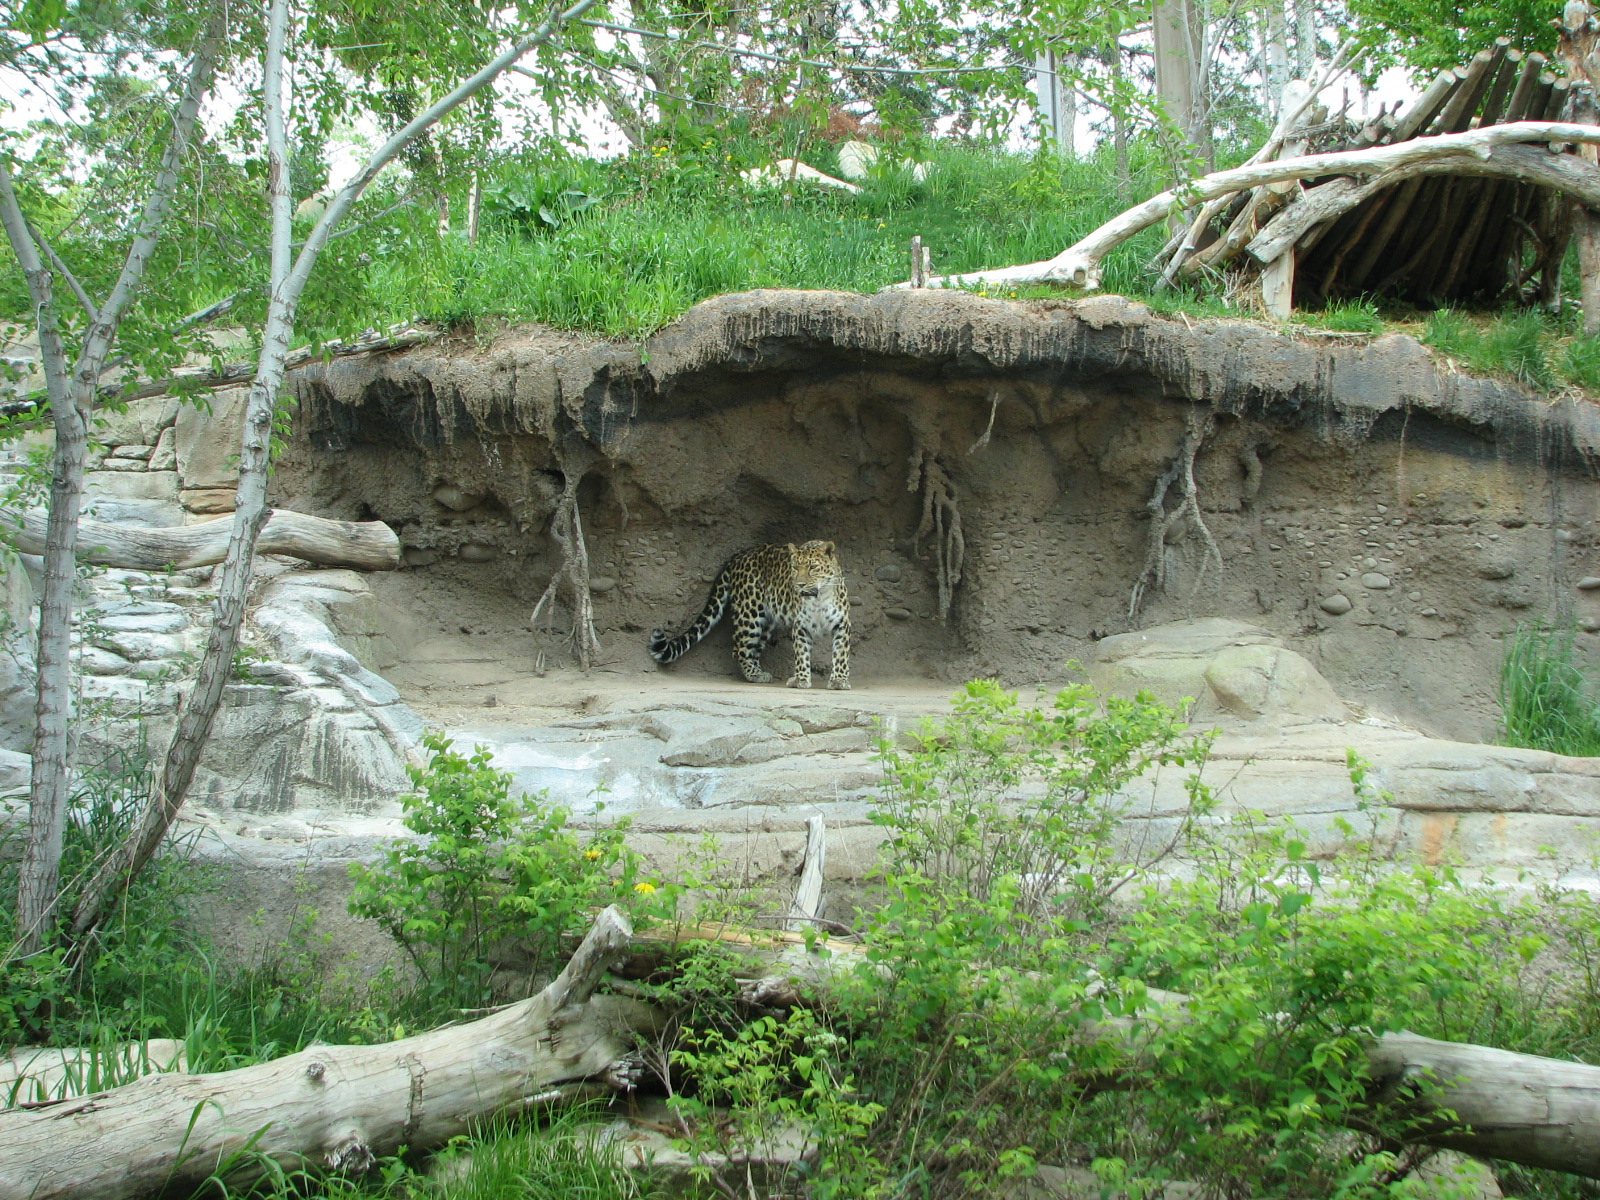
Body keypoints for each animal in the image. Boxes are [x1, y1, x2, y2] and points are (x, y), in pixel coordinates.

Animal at [648, 540, 851, 689]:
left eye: (813, 568)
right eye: (794, 567)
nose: (799, 585)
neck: (819, 597)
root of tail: (738, 556)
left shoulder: (842, 624)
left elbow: (841, 654)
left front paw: (839, 681)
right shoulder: (801, 626)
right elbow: (801, 654)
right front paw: (801, 679)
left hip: (766, 622)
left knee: (753, 649)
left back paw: (758, 673)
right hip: (750, 614)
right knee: (739, 649)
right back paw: (755, 675)